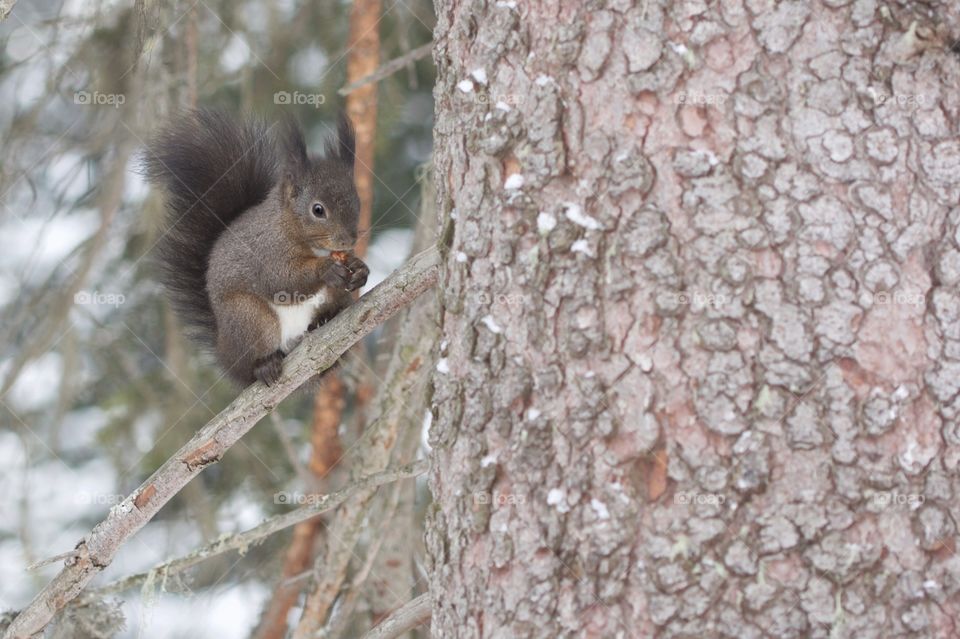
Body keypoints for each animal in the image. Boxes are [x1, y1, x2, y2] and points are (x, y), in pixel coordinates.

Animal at [145, 109, 369, 387]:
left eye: (357, 202)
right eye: (318, 210)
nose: (348, 241)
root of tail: (224, 353)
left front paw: (360, 271)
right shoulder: (266, 251)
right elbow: (280, 281)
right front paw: (326, 270)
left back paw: (325, 321)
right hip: (248, 318)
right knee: (251, 363)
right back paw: (264, 366)